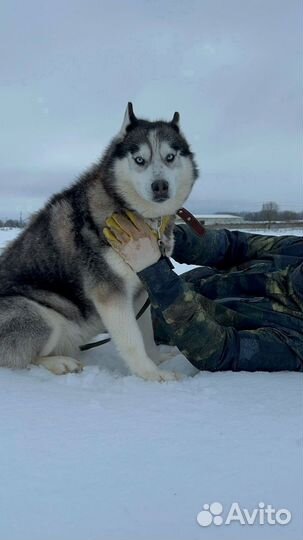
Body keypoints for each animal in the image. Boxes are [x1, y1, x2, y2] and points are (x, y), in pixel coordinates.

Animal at [0, 103, 198, 382]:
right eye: (139, 159)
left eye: (170, 157)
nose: (160, 186)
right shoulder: (110, 292)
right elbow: (132, 341)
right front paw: (151, 375)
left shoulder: (141, 289)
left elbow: (146, 336)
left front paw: (157, 361)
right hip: (38, 313)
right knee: (22, 358)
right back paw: (60, 363)